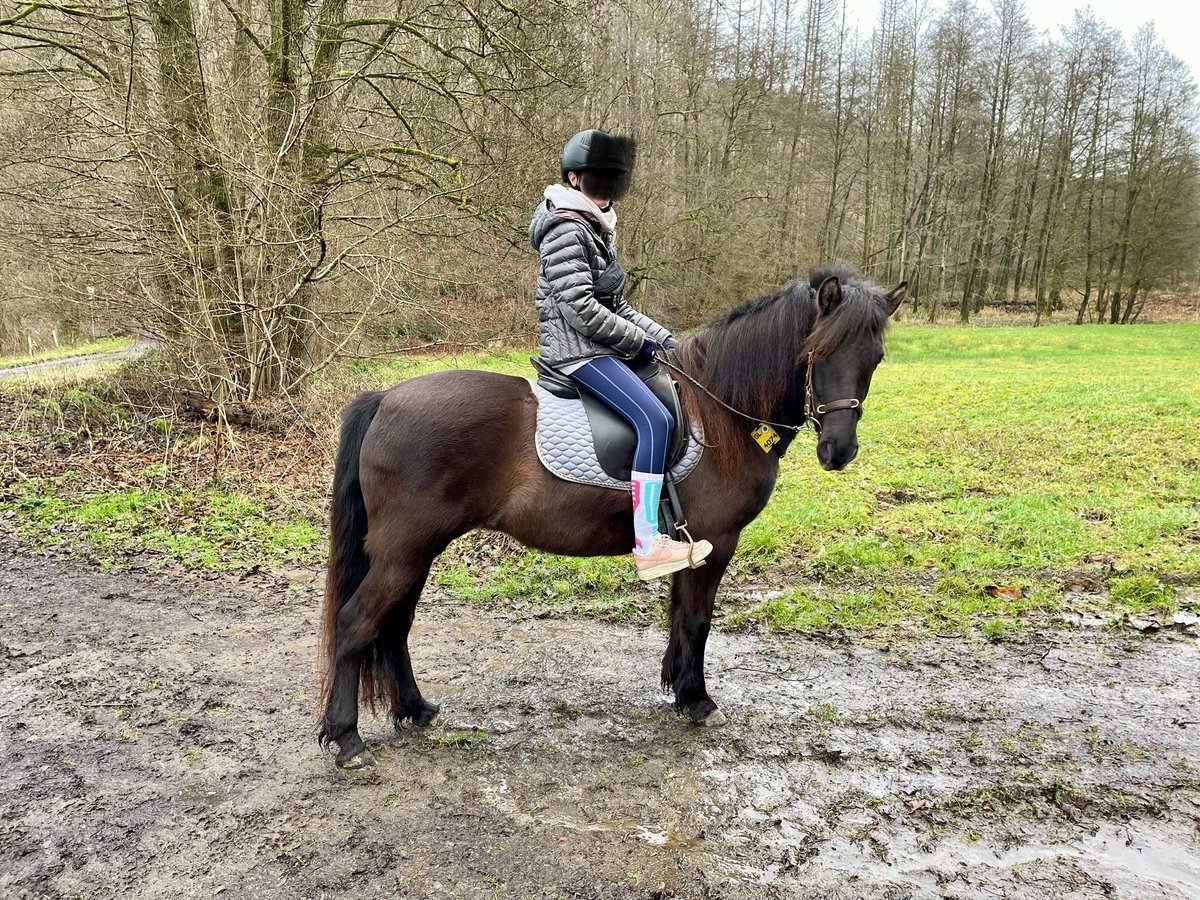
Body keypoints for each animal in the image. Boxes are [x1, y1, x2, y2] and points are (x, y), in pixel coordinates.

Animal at [314, 266, 902, 768]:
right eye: (818, 352)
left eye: (874, 358)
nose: (839, 450)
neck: (721, 412)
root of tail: (386, 397)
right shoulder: (718, 539)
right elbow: (698, 619)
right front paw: (696, 699)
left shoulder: (691, 543)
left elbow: (679, 614)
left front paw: (676, 686)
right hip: (405, 550)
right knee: (356, 622)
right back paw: (346, 738)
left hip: (416, 551)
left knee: (393, 626)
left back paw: (414, 710)